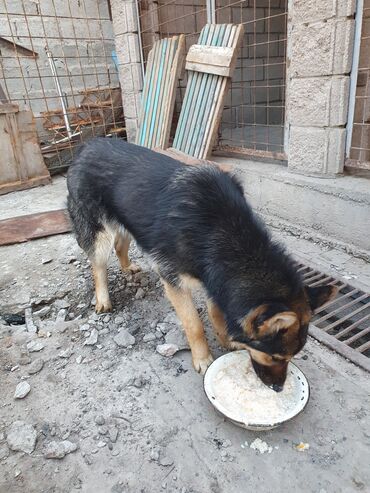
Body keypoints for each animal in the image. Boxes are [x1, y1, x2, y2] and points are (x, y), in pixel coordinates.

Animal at [67, 136, 338, 390]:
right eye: (275, 357)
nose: (278, 389)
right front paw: (203, 358)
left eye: (290, 358)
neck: (222, 233)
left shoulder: (214, 277)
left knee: (120, 244)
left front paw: (226, 339)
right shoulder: (174, 280)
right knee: (98, 265)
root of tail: (87, 145)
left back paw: (127, 267)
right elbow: (193, 323)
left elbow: (216, 312)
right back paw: (103, 299)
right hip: (98, 233)